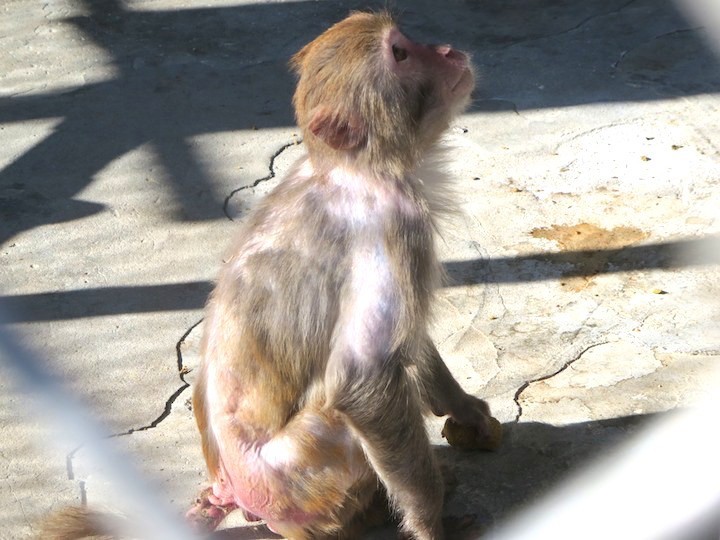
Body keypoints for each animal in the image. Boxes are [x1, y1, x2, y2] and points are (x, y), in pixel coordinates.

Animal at [188, 11, 497, 540]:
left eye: (407, 38)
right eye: (400, 53)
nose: (446, 49)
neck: (357, 167)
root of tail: (232, 486)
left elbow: (409, 340)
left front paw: (462, 407)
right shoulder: (394, 227)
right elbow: (362, 378)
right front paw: (431, 524)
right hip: (306, 472)